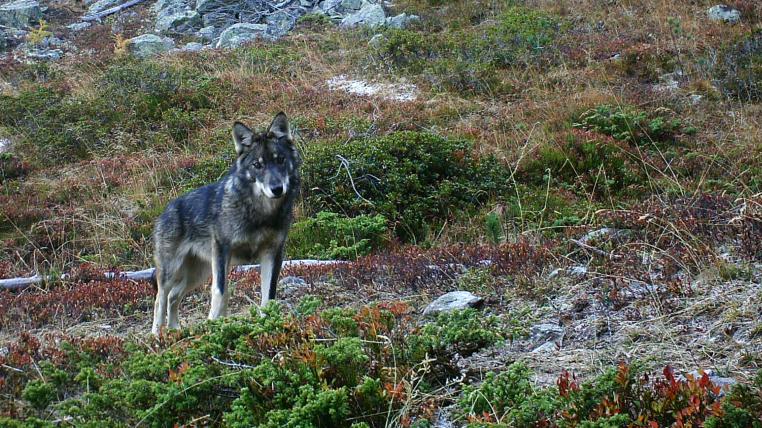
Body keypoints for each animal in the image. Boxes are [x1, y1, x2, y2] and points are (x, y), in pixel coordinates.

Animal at [151, 112, 300, 335]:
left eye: (280, 160)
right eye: (258, 165)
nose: (277, 189)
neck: (260, 213)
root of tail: (166, 210)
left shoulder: (273, 253)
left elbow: (269, 296)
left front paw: (267, 325)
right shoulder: (223, 251)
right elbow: (221, 293)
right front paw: (214, 325)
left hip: (197, 274)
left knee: (173, 297)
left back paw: (175, 331)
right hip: (173, 271)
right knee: (160, 300)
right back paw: (156, 336)